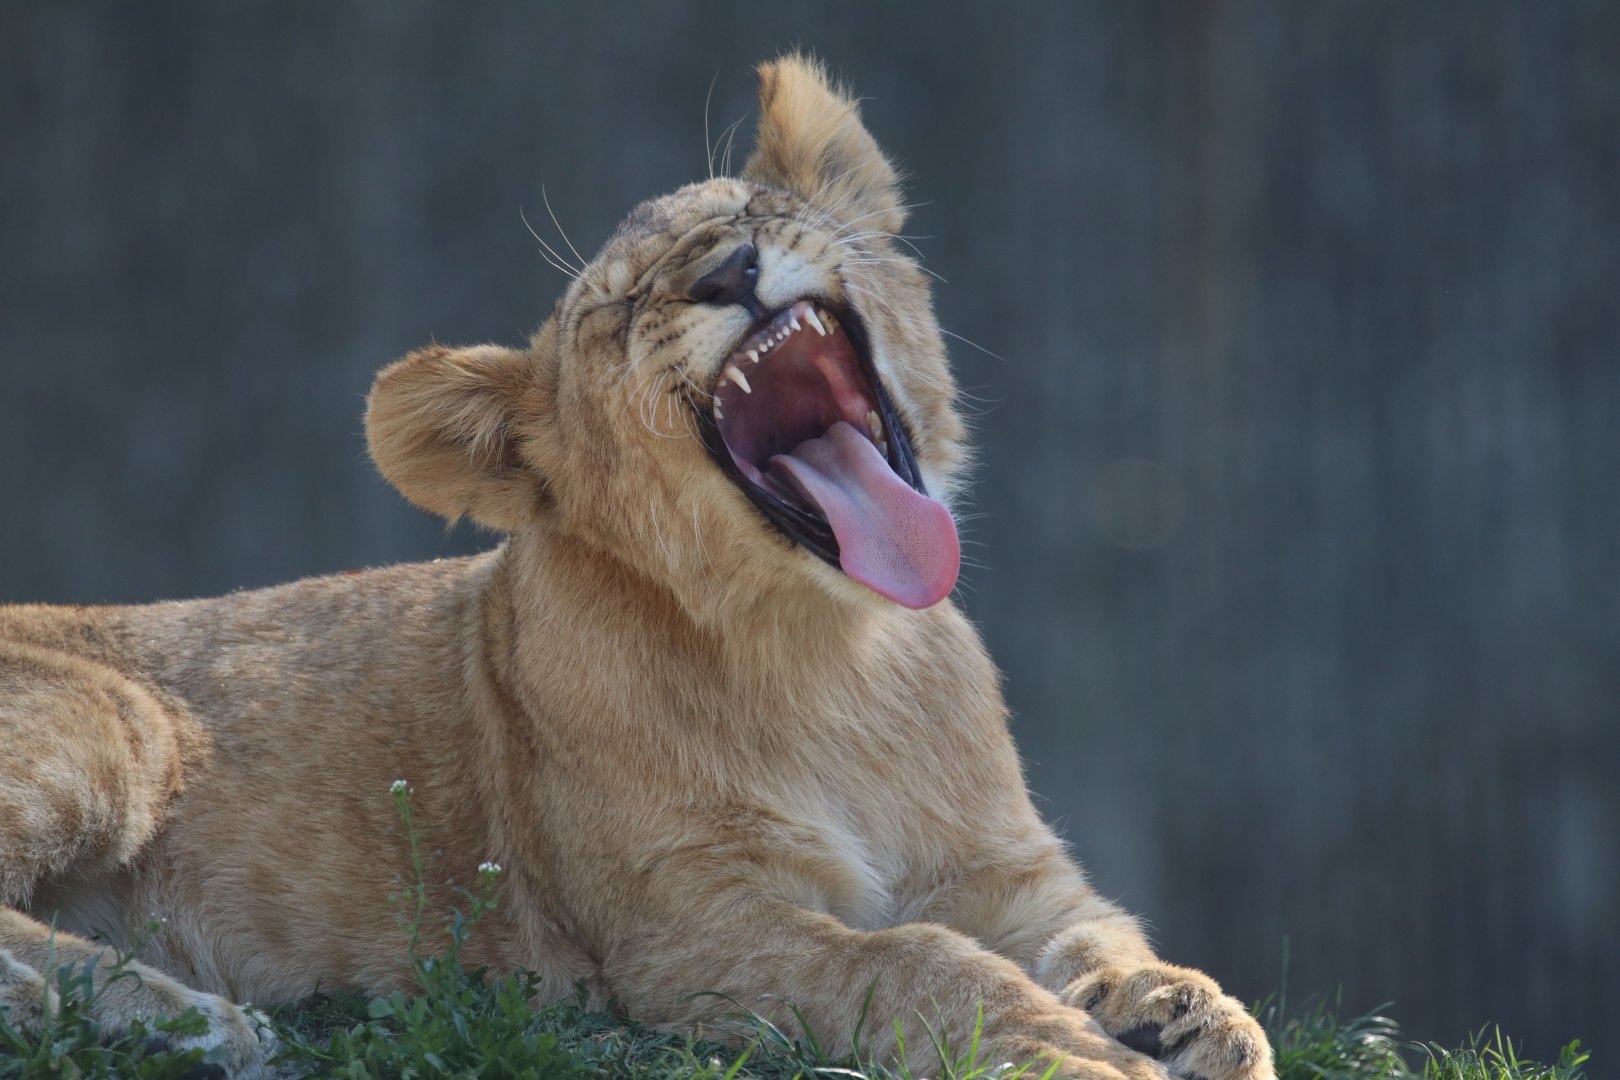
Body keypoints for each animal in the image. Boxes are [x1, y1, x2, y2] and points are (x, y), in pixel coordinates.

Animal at [0, 56, 1273, 1080]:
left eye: (755, 209)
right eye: (620, 311)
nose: (732, 269)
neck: (837, 651)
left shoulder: (1007, 873)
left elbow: (1099, 934)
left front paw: (1182, 1014)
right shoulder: (681, 933)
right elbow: (908, 961)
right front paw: (1074, 1049)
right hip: (122, 723)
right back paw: (178, 1016)